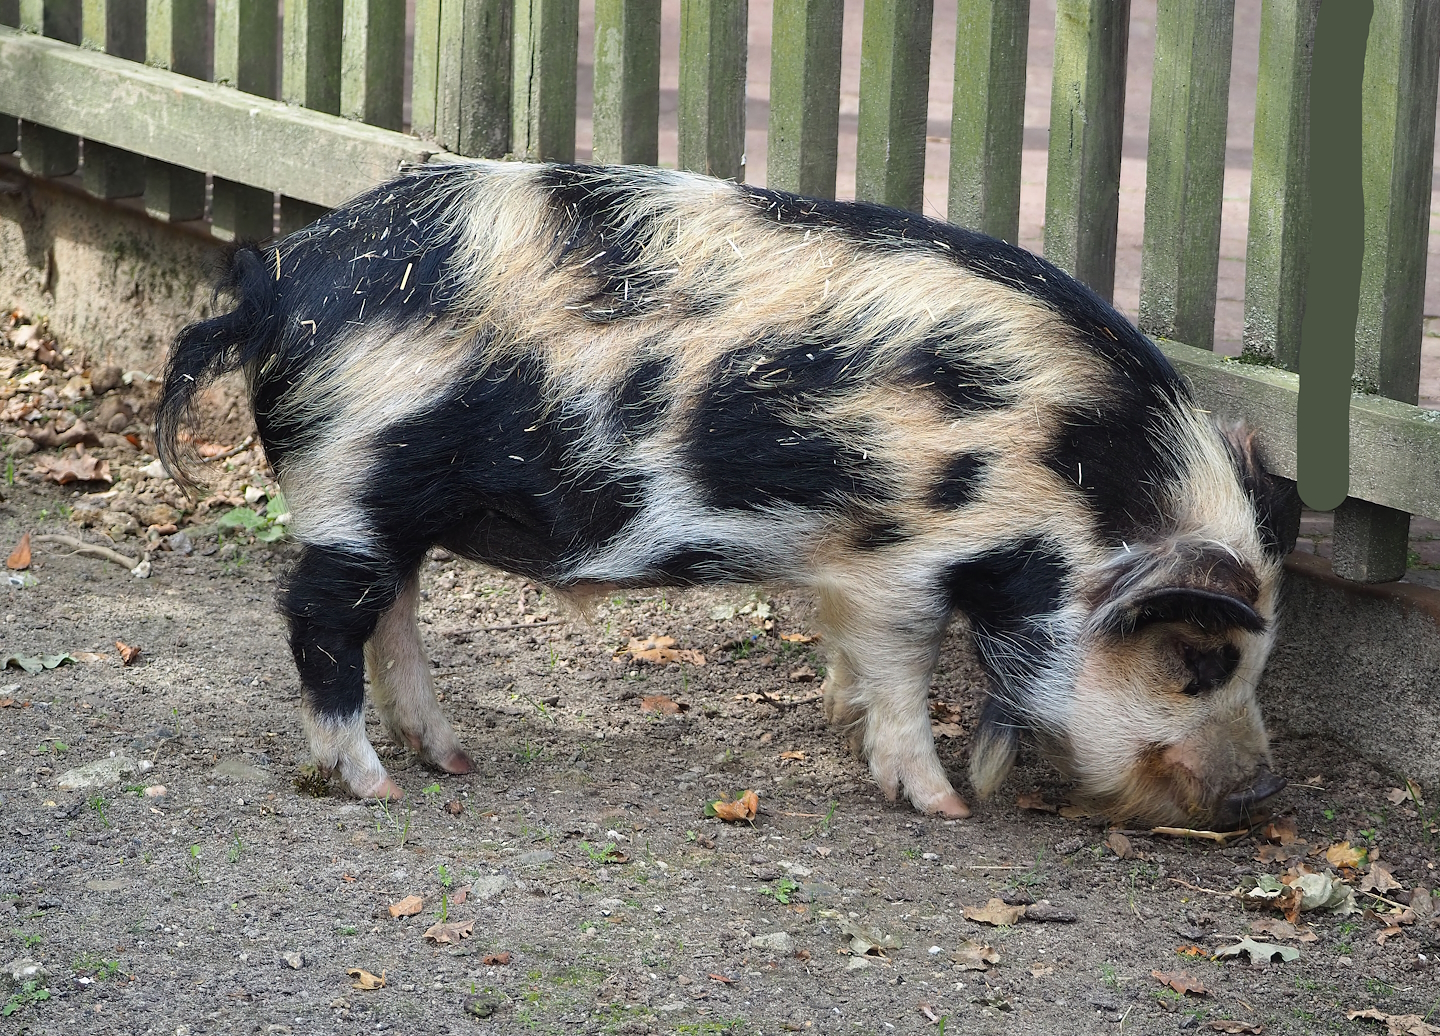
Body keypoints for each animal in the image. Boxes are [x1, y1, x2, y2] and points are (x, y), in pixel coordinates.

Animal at [157, 160, 1297, 827]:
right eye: (1196, 658)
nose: (1261, 786)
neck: (1070, 476)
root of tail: (279, 283)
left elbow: (859, 659)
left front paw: (843, 720)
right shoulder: (900, 558)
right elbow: (902, 669)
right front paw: (940, 807)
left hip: (392, 510)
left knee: (393, 616)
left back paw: (453, 760)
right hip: (349, 486)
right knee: (320, 624)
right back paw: (372, 782)